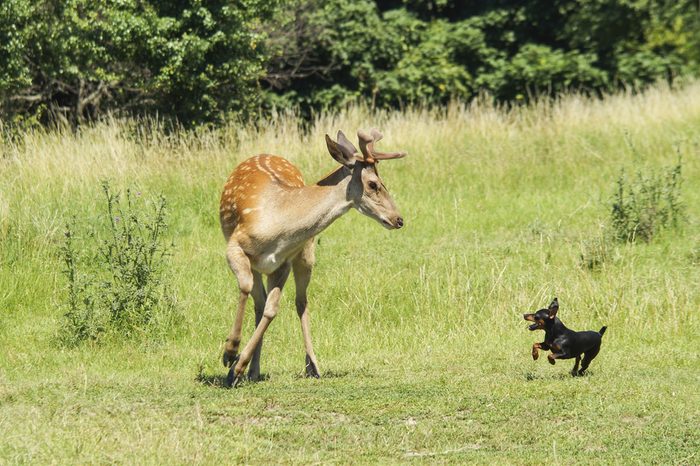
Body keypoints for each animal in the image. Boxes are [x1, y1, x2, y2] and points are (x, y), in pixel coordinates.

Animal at [219, 129, 404, 388]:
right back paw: (249, 369)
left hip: (305, 255)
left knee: (298, 302)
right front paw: (230, 354)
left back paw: (307, 366)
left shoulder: (283, 263)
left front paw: (237, 366)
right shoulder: (235, 245)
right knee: (259, 300)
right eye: (373, 184)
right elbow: (247, 289)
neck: (277, 226)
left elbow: (272, 309)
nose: (399, 219)